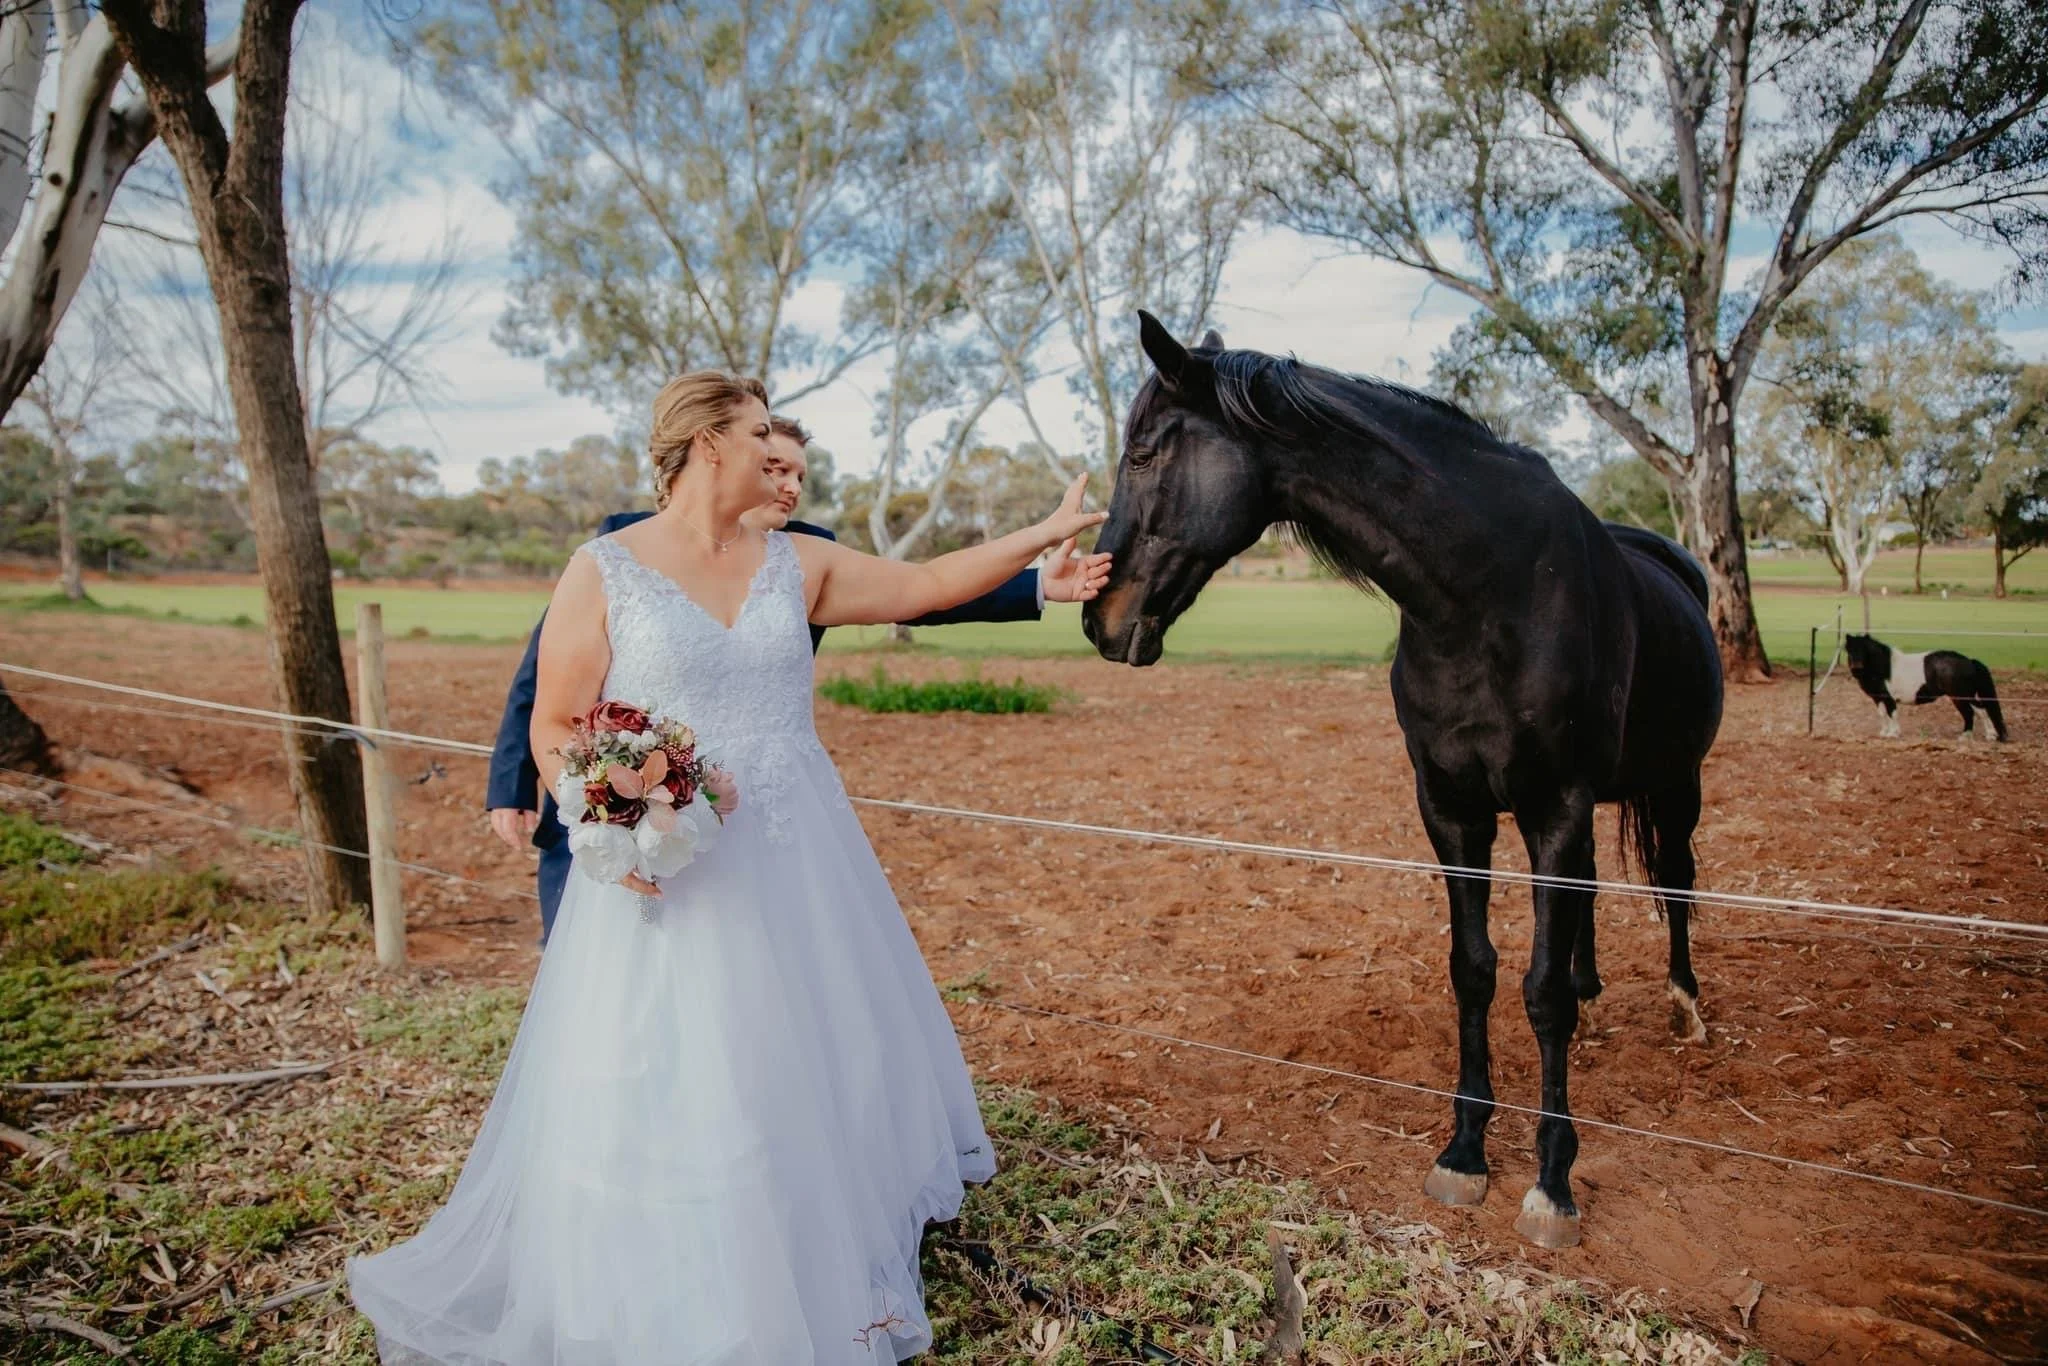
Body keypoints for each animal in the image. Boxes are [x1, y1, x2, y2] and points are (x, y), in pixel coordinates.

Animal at [1083, 313, 1725, 1249]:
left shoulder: (1554, 806)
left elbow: (1538, 995)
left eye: (1142, 452)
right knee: (1595, 895)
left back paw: (1685, 1006)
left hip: (1677, 785)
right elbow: (1474, 971)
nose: (1098, 616)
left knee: (1675, 880)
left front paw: (1553, 1185)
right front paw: (1464, 1153)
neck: (1491, 593)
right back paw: (1596, 986)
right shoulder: (1452, 810)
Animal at [1843, 633, 2009, 742]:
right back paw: (1966, 736)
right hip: (1959, 697)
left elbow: (1892, 714)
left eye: (1864, 650)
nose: (1857, 667)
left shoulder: (1890, 698)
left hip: (1963, 695)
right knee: (1970, 713)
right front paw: (1884, 732)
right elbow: (1882, 714)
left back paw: (1989, 735)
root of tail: (1969, 661)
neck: (1885, 668)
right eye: (1849, 650)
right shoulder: (1878, 698)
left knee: (1979, 711)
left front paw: (1894, 733)